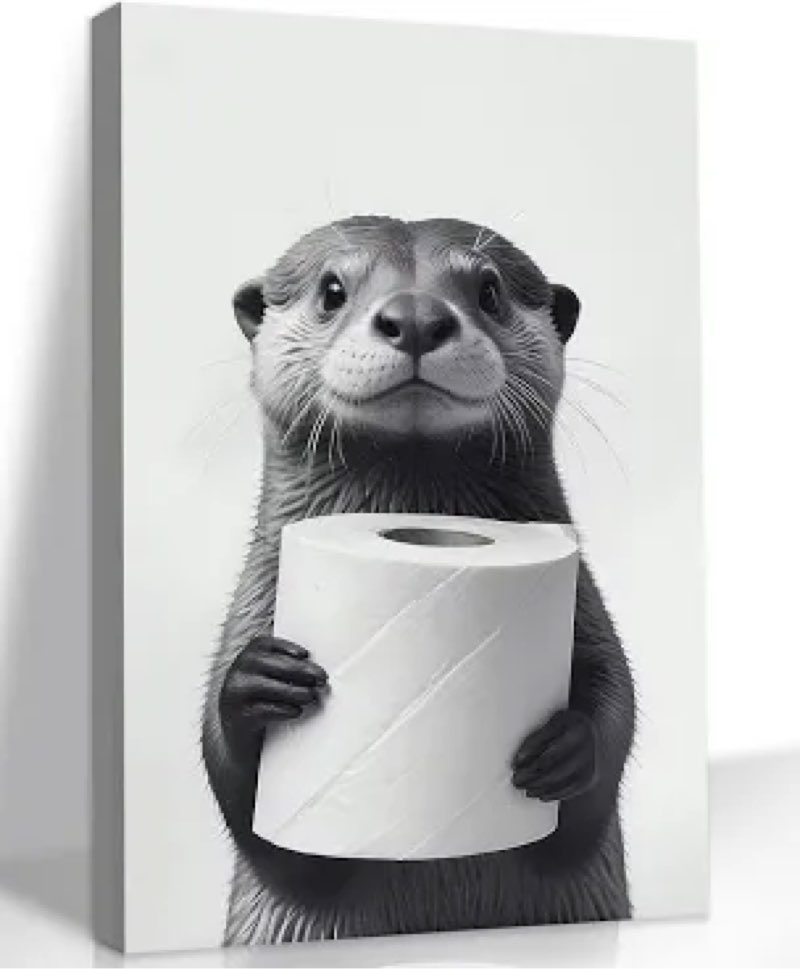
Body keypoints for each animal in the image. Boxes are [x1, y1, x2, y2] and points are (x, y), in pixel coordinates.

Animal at [202, 216, 635, 945]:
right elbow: (254, 818)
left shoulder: (584, 608)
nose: (414, 316)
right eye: (333, 289)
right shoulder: (255, 602)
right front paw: (258, 681)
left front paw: (569, 747)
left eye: (488, 291)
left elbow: (614, 712)